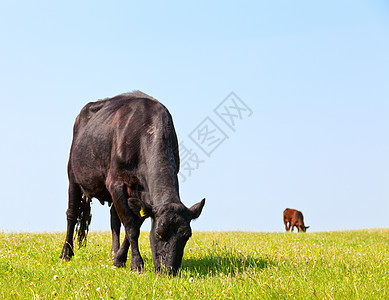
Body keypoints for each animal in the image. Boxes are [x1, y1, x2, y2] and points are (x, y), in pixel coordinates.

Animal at [58, 91, 205, 274]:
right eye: (159, 233)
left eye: (187, 236)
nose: (168, 270)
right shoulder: (116, 183)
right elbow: (132, 227)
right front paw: (136, 264)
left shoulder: (144, 195)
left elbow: (132, 225)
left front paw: (119, 259)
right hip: (73, 175)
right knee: (71, 214)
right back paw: (66, 253)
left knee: (114, 219)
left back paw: (113, 252)